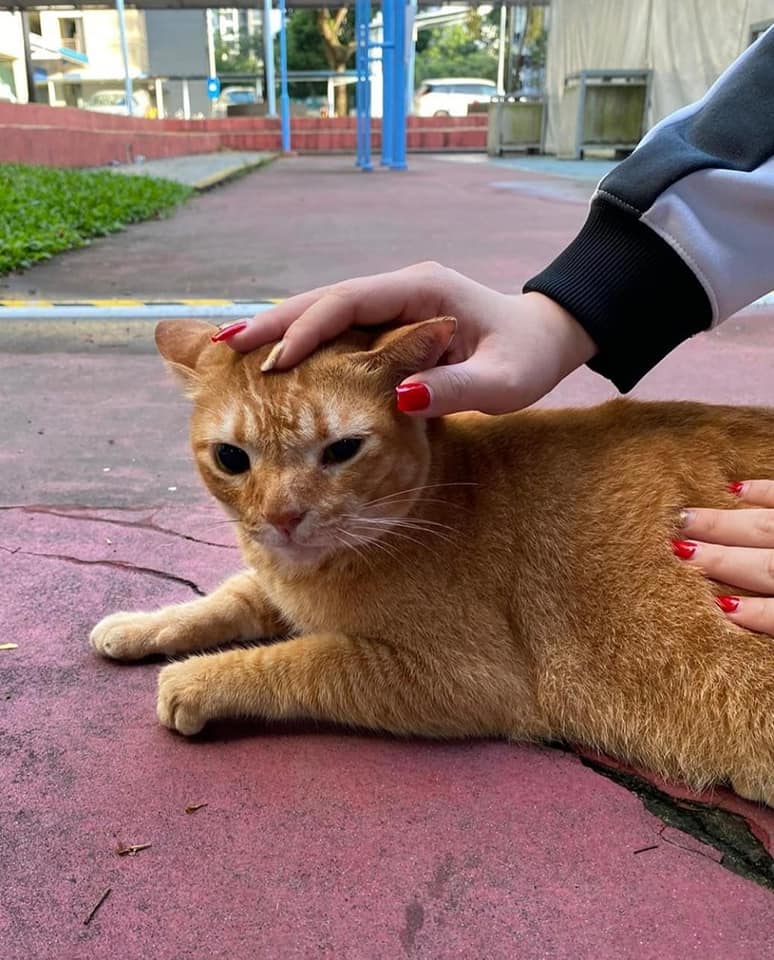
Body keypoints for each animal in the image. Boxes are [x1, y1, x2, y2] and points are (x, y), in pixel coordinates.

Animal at [89, 318, 774, 808]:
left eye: (343, 450)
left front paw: (195, 681)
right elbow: (229, 597)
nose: (284, 517)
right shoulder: (277, 585)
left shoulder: (459, 675)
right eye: (231, 458)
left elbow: (298, 660)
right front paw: (138, 626)